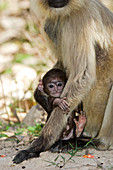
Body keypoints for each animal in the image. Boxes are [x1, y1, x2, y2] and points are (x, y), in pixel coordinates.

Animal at [12, 0, 113, 164]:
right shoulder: (50, 24)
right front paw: (40, 94)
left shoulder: (80, 19)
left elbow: (82, 76)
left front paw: (40, 144)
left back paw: (98, 141)